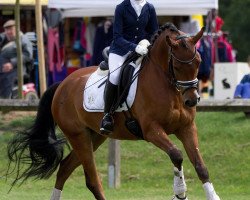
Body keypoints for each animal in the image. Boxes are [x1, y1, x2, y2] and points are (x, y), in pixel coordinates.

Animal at [6, 22, 220, 199]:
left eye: (199, 61)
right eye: (176, 65)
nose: (191, 100)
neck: (169, 87)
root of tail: (62, 84)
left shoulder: (186, 128)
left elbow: (201, 166)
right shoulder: (151, 130)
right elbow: (177, 155)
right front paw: (180, 192)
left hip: (94, 136)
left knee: (65, 168)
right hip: (78, 136)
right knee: (92, 180)